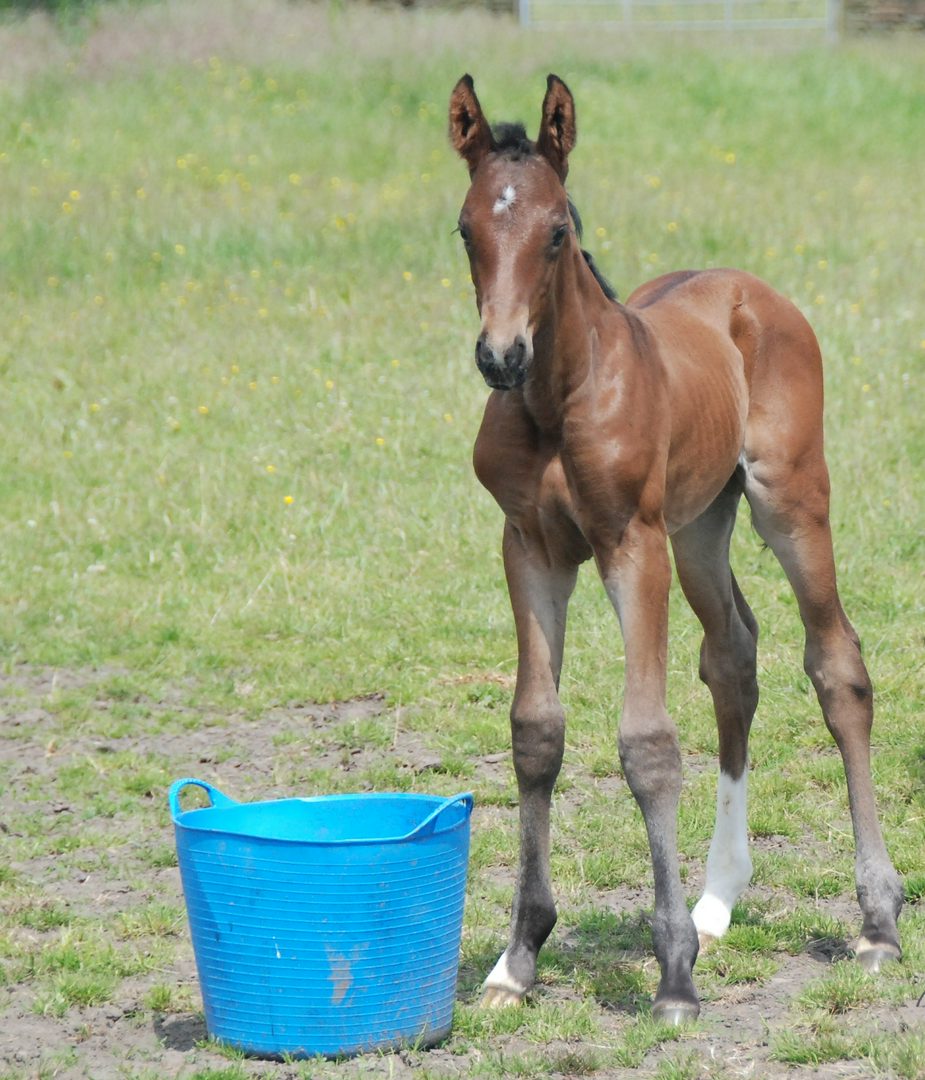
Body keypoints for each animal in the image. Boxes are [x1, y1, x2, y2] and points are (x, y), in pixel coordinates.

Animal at [448, 73, 903, 1023]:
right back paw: (716, 898)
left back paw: (876, 922)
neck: (558, 398)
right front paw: (517, 959)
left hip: (786, 500)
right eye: (467, 230)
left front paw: (673, 977)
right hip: (700, 527)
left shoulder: (632, 543)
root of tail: (748, 288)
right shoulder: (529, 547)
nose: (500, 356)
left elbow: (648, 743)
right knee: (733, 656)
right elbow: (535, 730)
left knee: (836, 665)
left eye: (556, 231)